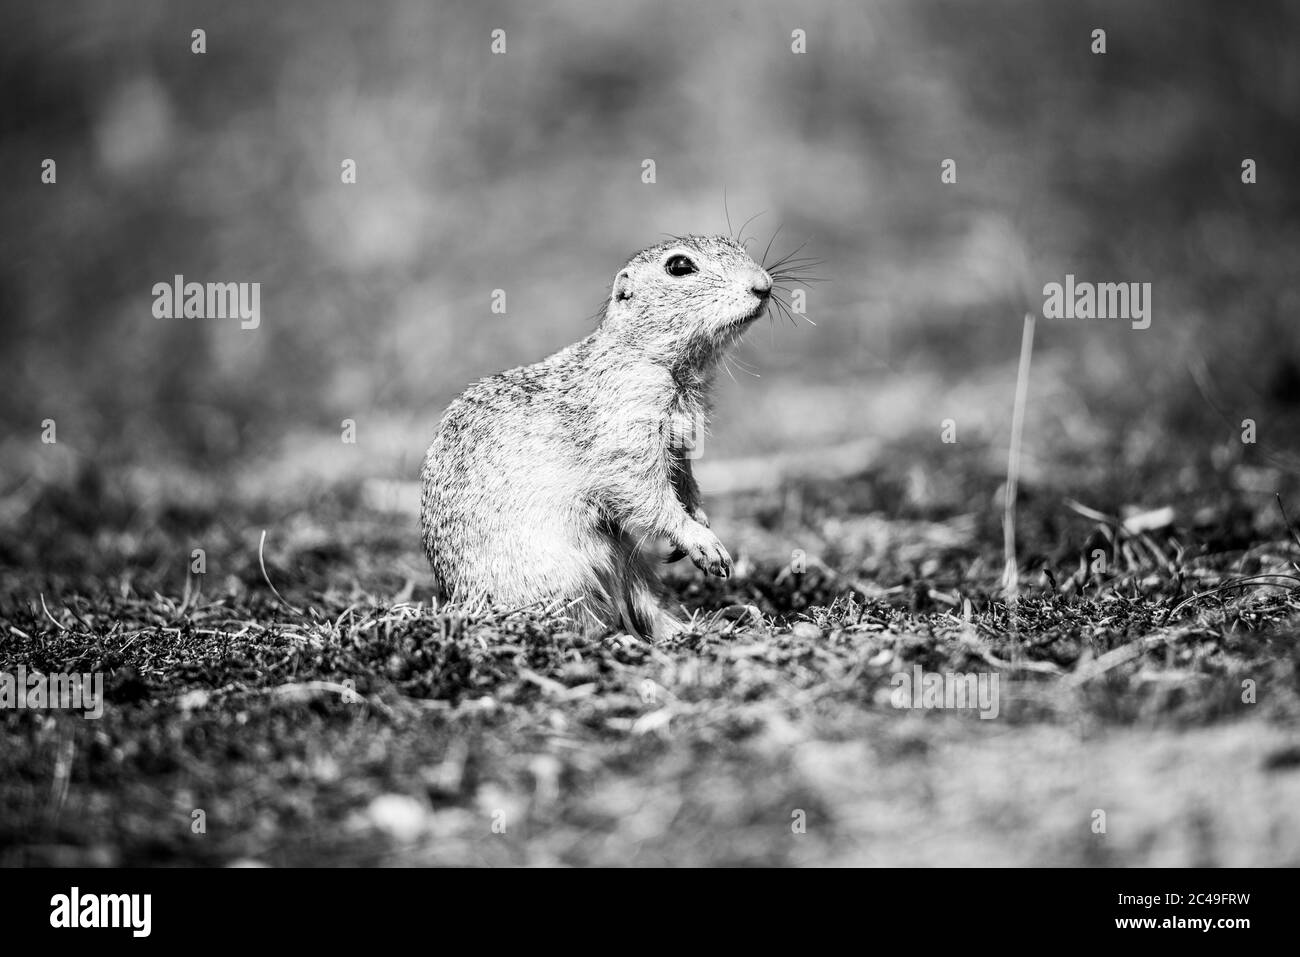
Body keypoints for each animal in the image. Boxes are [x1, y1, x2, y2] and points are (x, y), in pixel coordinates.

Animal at [418, 234, 780, 639]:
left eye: (737, 246)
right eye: (680, 266)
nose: (763, 285)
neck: (660, 364)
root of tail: (460, 603)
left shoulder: (680, 444)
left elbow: (685, 483)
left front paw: (701, 521)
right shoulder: (626, 437)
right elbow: (644, 493)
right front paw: (703, 542)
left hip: (623, 554)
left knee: (643, 604)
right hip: (564, 575)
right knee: (588, 623)